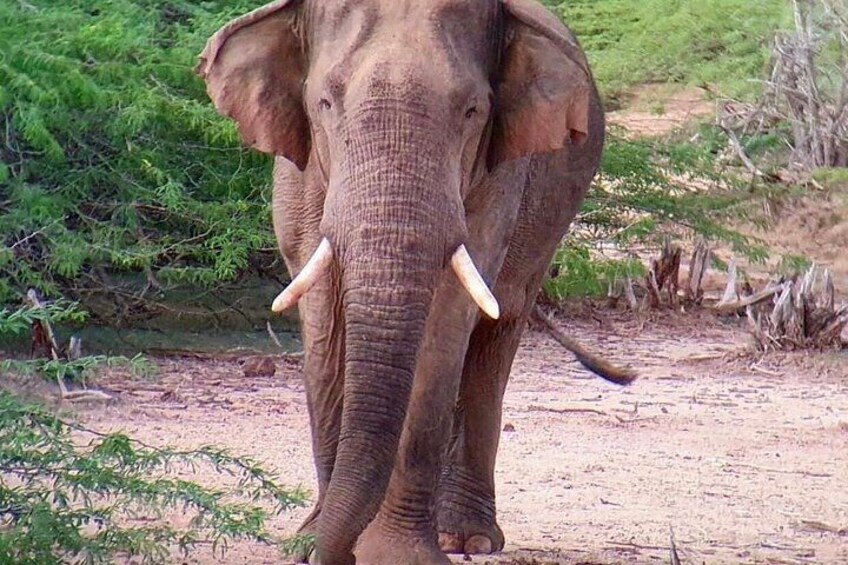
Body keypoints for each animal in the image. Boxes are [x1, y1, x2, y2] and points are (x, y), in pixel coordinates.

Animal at [198, 1, 631, 563]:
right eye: (324, 103)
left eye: (472, 111)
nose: (335, 554)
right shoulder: (300, 180)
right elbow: (324, 325)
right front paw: (310, 542)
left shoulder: (498, 178)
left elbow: (445, 321)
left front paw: (397, 555)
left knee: (498, 329)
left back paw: (466, 538)